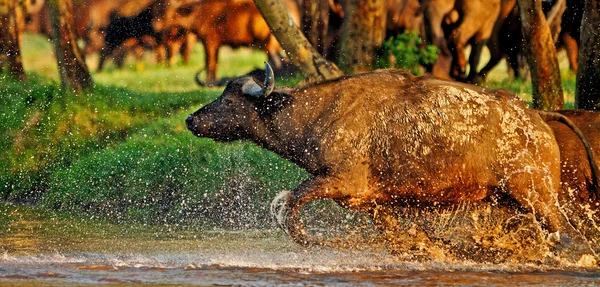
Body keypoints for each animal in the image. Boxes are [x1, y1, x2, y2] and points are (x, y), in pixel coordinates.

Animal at [186, 63, 596, 254]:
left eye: (229, 99)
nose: (191, 119)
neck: (319, 114)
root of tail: (537, 117)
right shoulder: (372, 203)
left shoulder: (338, 181)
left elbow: (290, 205)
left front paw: (310, 239)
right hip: (510, 200)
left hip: (538, 197)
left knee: (564, 234)